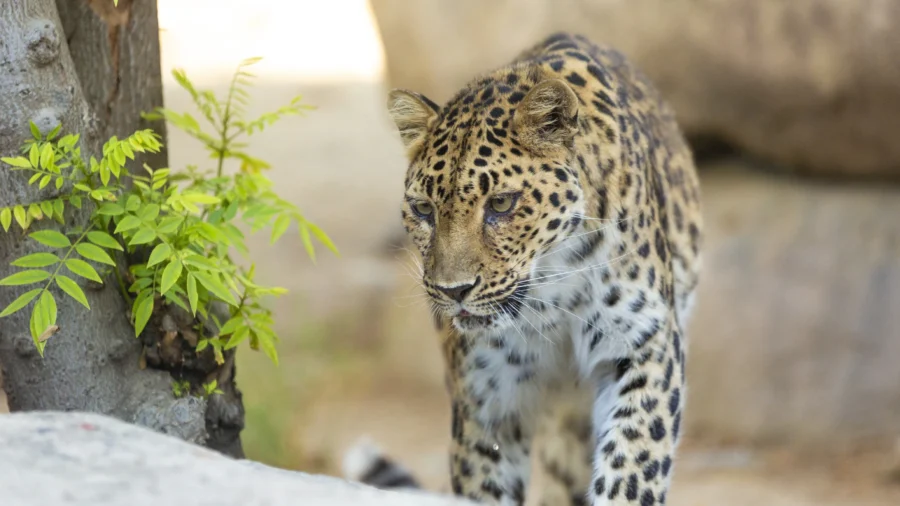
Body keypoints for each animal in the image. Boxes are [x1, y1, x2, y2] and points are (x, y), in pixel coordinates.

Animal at [344, 32, 704, 506]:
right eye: (423, 210)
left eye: (500, 204)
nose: (453, 291)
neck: (553, 289)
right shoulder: (488, 393)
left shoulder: (645, 345)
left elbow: (632, 467)